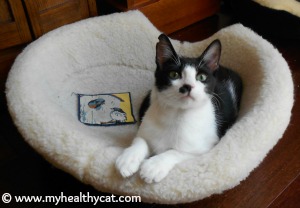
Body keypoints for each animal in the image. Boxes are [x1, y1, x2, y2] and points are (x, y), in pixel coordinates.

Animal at [115, 34, 244, 184]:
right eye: (174, 75)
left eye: (201, 77)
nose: (187, 86)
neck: (176, 113)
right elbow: (140, 139)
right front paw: (128, 159)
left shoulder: (207, 146)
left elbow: (177, 152)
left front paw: (154, 166)